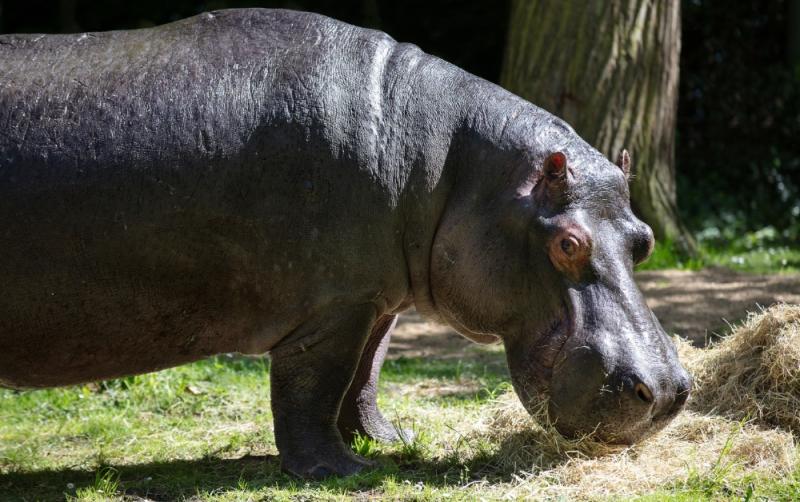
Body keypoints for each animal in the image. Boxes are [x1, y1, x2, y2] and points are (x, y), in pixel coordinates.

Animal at [0, 8, 691, 478]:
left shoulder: (376, 298)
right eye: (568, 243)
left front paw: (387, 441)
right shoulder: (330, 307)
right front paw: (341, 471)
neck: (451, 168)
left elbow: (366, 374)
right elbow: (315, 383)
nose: (668, 391)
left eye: (644, 239)